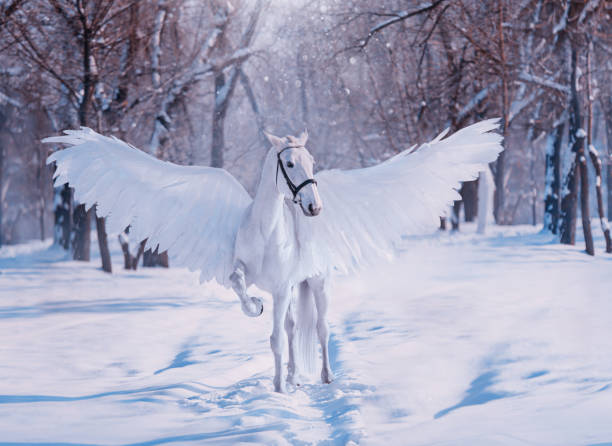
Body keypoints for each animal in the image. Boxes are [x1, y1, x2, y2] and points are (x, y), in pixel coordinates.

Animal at [43, 119, 502, 394]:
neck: (267, 232)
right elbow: (243, 291)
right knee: (297, 327)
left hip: (317, 285)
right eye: (290, 163)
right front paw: (256, 313)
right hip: (298, 290)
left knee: (320, 330)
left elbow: (278, 338)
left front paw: (280, 389)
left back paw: (324, 376)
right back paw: (297, 375)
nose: (314, 207)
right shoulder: (254, 277)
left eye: (312, 161)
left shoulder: (283, 287)